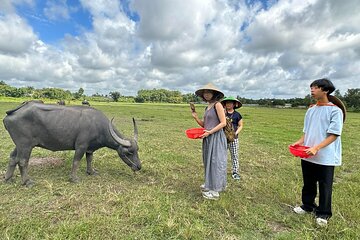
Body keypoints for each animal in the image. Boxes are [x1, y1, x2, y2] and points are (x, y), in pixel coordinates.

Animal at [2, 100, 141, 187]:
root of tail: (12, 113)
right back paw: (27, 182)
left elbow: (90, 159)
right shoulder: (81, 146)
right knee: (22, 161)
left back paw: (7, 179)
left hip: (19, 145)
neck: (98, 125)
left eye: (137, 150)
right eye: (128, 152)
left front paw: (91, 172)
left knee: (13, 157)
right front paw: (74, 178)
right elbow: (76, 161)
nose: (139, 167)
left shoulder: (89, 148)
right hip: (25, 146)